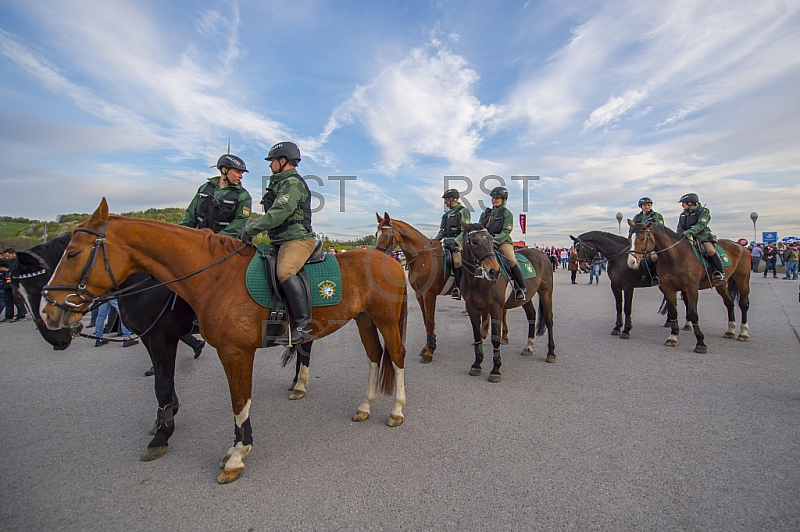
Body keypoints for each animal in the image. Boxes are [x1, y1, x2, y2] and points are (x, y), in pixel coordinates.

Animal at [40, 200, 410, 482]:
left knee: (396, 356)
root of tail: (387, 259)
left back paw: (395, 411)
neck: (215, 276)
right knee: (374, 357)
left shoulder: (228, 351)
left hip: (385, 321)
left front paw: (235, 455)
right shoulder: (192, 345)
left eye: (72, 254)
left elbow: (236, 401)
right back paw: (364, 406)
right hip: (364, 321)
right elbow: (192, 391)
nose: (48, 314)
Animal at [628, 220, 752, 354]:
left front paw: (700, 342)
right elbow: (673, 312)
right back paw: (730, 330)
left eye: (642, 238)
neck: (675, 256)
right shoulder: (668, 288)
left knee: (744, 304)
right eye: (629, 238)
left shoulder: (691, 289)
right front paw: (673, 336)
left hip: (743, 280)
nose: (631, 262)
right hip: (721, 284)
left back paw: (743, 333)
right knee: (729, 302)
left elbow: (693, 314)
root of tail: (740, 246)